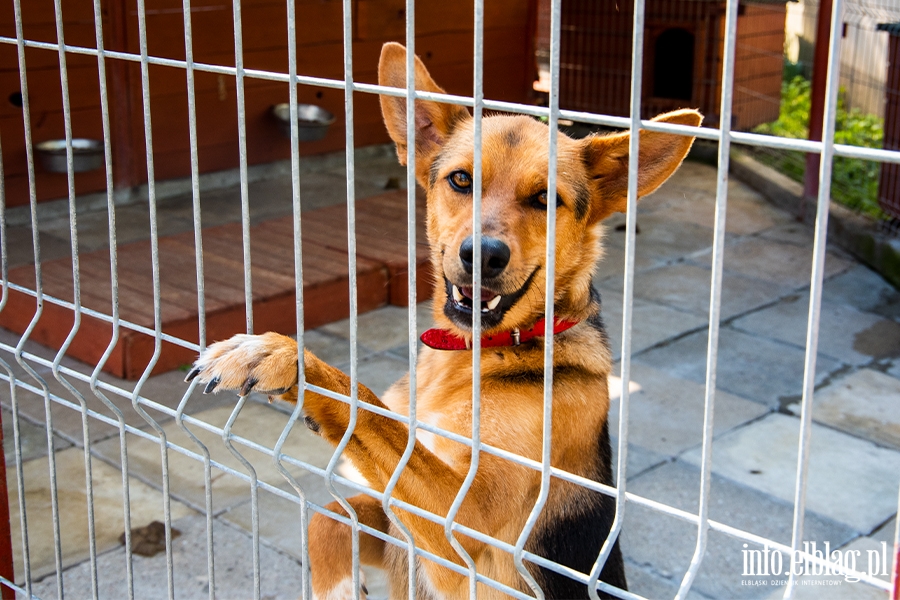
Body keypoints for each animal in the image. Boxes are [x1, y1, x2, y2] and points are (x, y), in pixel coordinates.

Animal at [186, 42, 700, 600]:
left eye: (546, 199)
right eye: (461, 180)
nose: (484, 256)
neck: (473, 356)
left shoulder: (465, 526)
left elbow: (365, 406)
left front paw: (278, 354)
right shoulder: (400, 520)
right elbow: (330, 513)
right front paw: (337, 587)